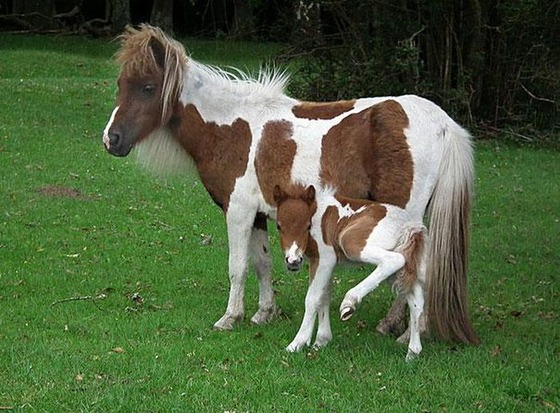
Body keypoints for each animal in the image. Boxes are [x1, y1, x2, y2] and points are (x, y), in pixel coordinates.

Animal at [274, 185, 426, 358]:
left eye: (308, 226)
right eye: (278, 226)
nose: (293, 261)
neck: (317, 213)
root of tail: (408, 226)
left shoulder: (325, 259)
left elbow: (312, 299)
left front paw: (297, 343)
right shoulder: (322, 264)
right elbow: (324, 296)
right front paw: (321, 342)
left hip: (350, 241)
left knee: (394, 260)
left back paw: (349, 302)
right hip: (404, 268)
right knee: (416, 301)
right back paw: (413, 352)